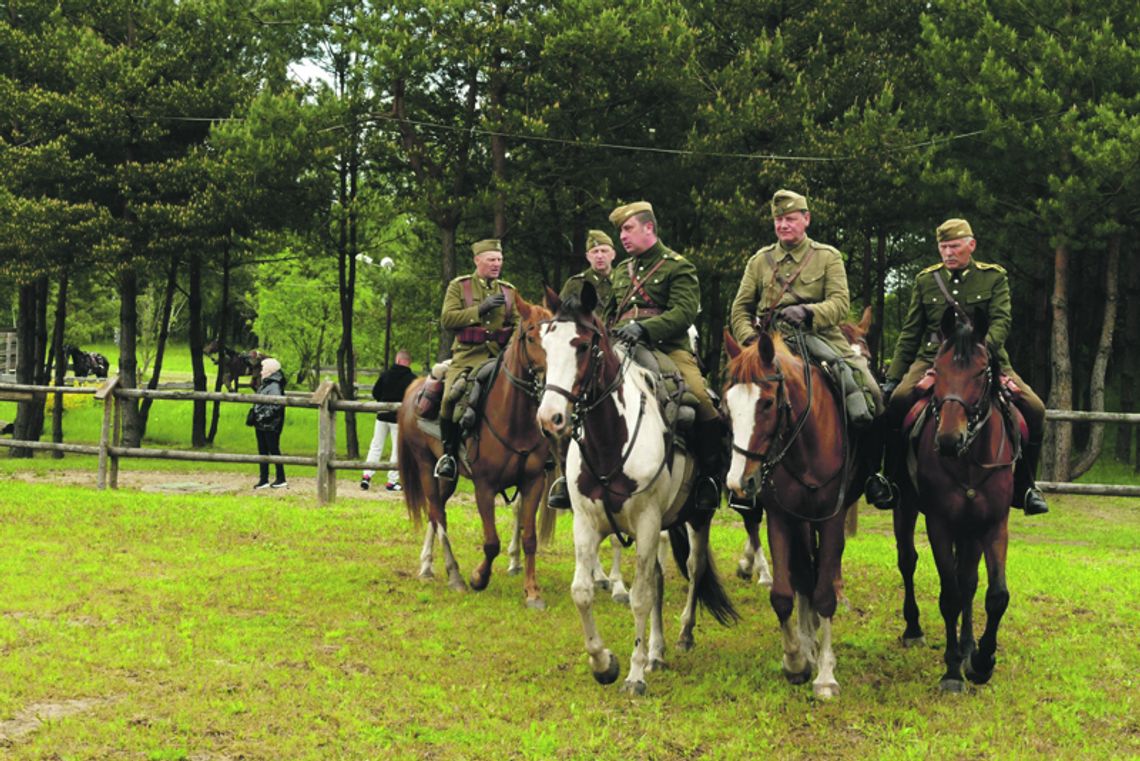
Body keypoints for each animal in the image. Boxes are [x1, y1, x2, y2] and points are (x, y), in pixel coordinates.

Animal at [396, 293, 556, 610]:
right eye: (531, 337)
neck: (514, 419)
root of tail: (416, 388)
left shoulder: (534, 482)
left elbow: (529, 538)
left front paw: (532, 592)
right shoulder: (485, 486)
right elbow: (491, 542)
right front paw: (479, 578)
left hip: (448, 476)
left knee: (435, 511)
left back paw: (427, 567)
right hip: (425, 465)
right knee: (437, 513)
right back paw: (454, 575)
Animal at [535, 283, 738, 697]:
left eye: (582, 345)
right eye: (544, 343)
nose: (550, 418)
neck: (611, 438)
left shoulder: (646, 523)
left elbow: (641, 598)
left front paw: (634, 674)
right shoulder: (586, 522)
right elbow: (582, 591)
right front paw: (604, 664)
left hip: (697, 517)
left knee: (693, 568)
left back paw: (683, 635)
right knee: (659, 577)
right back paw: (657, 652)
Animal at [889, 305, 1016, 692]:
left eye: (980, 372)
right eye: (938, 371)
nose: (947, 439)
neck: (970, 457)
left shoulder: (993, 524)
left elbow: (994, 594)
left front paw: (981, 661)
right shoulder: (940, 524)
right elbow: (950, 595)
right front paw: (952, 671)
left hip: (970, 529)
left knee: (969, 581)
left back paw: (967, 645)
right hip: (905, 508)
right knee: (908, 561)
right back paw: (914, 629)